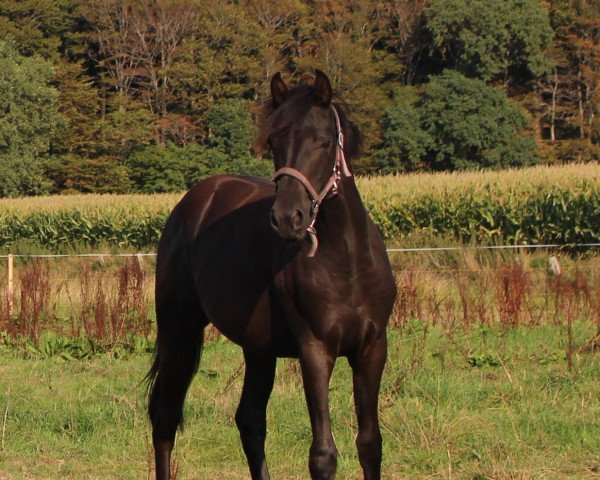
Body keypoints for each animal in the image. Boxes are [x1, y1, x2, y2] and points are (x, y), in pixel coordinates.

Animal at [148, 69, 396, 478]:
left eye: (324, 141)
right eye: (275, 141)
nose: (287, 217)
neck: (348, 264)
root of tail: (193, 201)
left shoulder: (372, 349)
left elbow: (370, 444)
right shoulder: (315, 350)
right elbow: (323, 455)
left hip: (257, 347)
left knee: (249, 420)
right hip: (179, 328)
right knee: (164, 416)